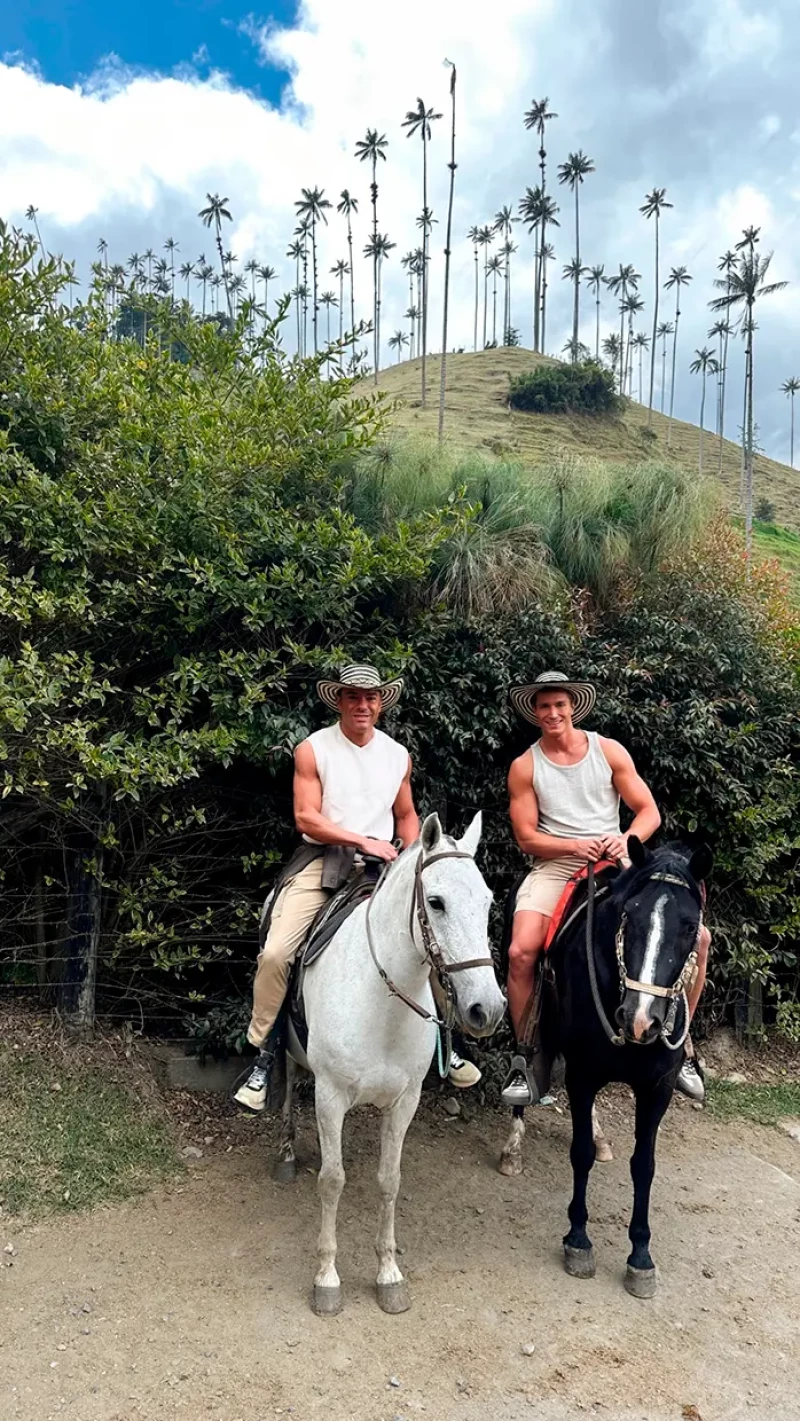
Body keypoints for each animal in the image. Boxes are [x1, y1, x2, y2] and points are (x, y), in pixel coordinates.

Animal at [278, 818, 503, 1313]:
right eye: (435, 902)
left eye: (487, 902)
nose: (489, 1008)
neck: (379, 1002)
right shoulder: (330, 1096)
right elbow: (332, 1180)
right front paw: (327, 1279)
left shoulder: (405, 1101)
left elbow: (389, 1181)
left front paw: (388, 1274)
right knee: (284, 1083)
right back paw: (284, 1150)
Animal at [500, 829, 713, 1301]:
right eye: (629, 916)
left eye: (690, 926)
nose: (640, 1019)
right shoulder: (583, 1074)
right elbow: (579, 1155)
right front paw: (578, 1240)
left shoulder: (657, 1087)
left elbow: (644, 1165)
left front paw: (641, 1256)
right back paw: (513, 1143)